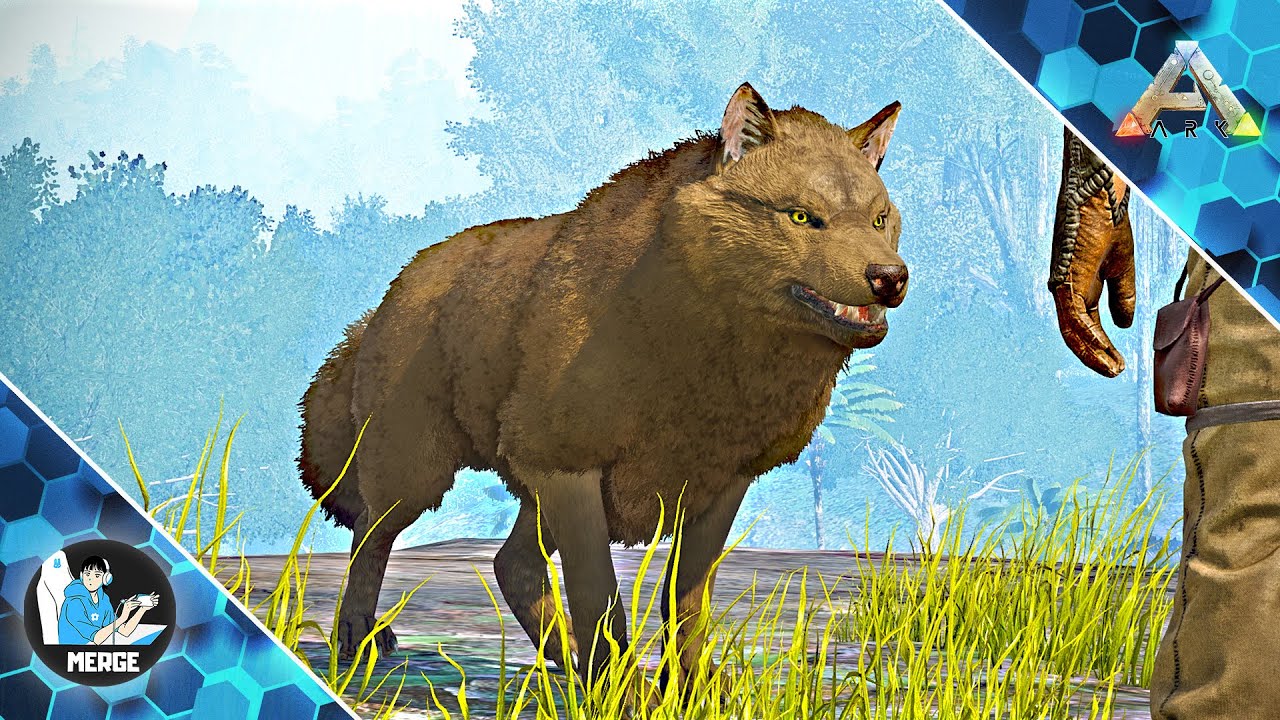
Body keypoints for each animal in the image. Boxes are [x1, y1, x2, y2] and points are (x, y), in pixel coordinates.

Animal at [298, 82, 907, 696]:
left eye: (879, 219)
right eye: (803, 216)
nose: (891, 277)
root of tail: (396, 285)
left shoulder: (722, 483)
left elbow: (683, 602)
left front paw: (689, 688)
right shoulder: (569, 470)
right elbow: (600, 598)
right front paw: (623, 693)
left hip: (525, 491)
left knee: (512, 566)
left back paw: (563, 661)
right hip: (418, 477)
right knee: (370, 540)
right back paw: (358, 640)